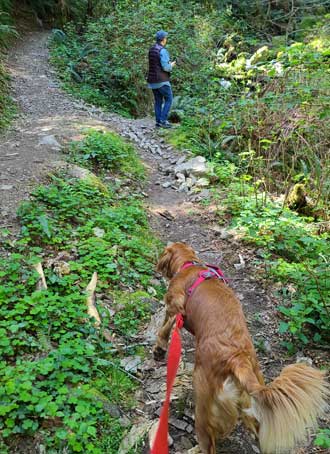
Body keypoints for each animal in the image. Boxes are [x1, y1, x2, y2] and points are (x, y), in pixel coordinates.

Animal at [153, 243, 328, 454]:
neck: (189, 265)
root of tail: (238, 358)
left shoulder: (174, 306)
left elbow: (164, 327)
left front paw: (159, 349)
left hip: (203, 397)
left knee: (208, 442)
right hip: (251, 398)